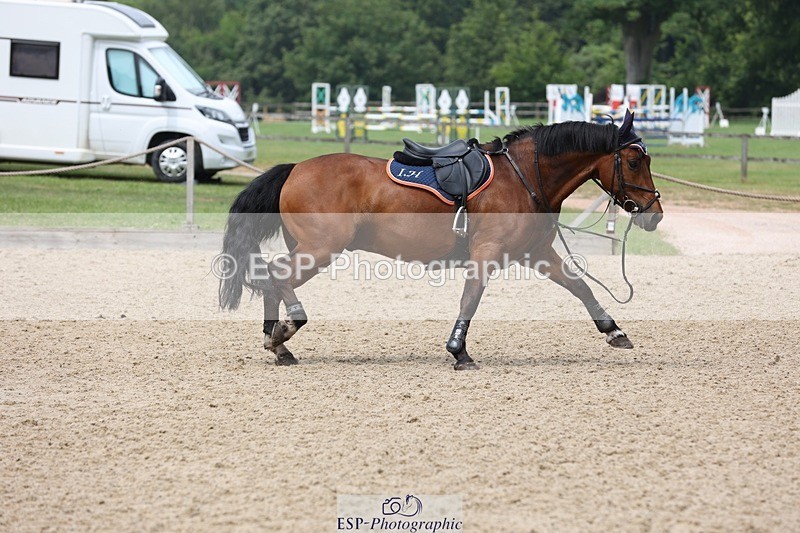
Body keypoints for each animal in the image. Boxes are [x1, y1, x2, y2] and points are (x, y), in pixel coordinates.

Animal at [218, 111, 663, 370]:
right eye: (634, 161)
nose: (654, 213)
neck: (523, 177)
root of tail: (295, 168)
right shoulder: (487, 254)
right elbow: (471, 299)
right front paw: (458, 351)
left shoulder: (535, 252)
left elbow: (580, 286)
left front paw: (613, 331)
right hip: (319, 250)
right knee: (277, 276)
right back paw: (284, 331)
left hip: (309, 249)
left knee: (272, 278)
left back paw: (278, 343)